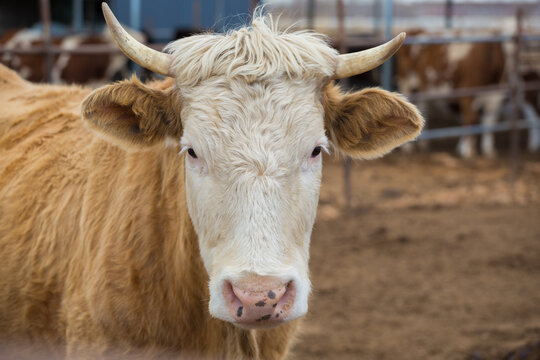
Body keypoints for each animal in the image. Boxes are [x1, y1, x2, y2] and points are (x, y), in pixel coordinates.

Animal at [396, 31, 506, 159]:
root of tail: (415, 31)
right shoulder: (467, 93)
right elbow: (471, 118)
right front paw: (467, 150)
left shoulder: (495, 97)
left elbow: (489, 122)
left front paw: (487, 150)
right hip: (406, 83)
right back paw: (407, 147)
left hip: (422, 89)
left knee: (422, 109)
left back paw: (423, 143)